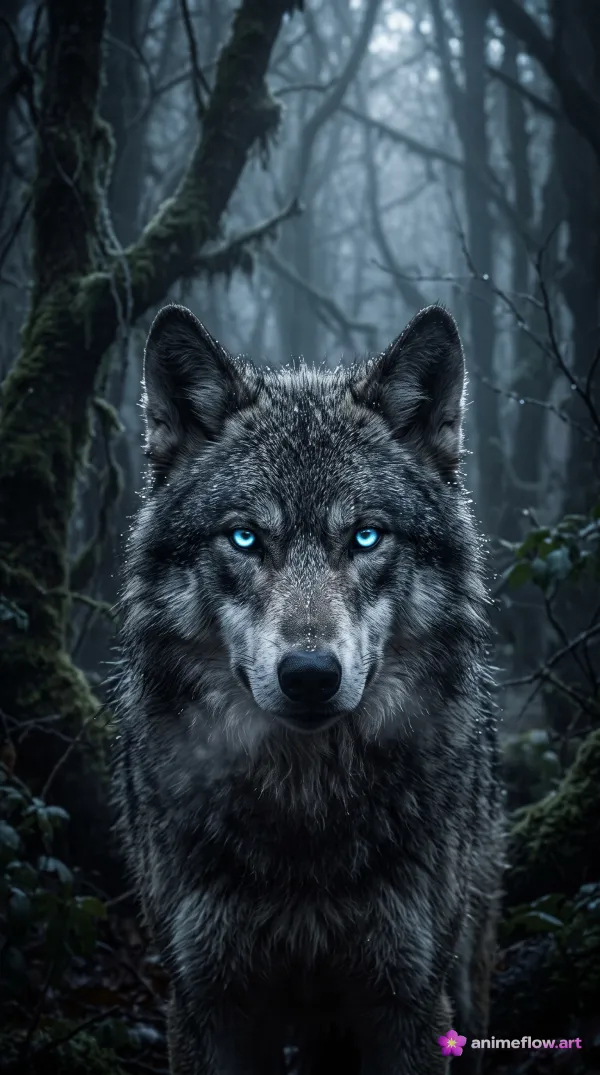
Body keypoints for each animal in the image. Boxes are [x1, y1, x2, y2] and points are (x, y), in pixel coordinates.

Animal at [114, 301, 503, 1075]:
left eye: (366, 537)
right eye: (243, 538)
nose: (310, 676)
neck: (304, 808)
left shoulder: (408, 1003)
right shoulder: (206, 1003)